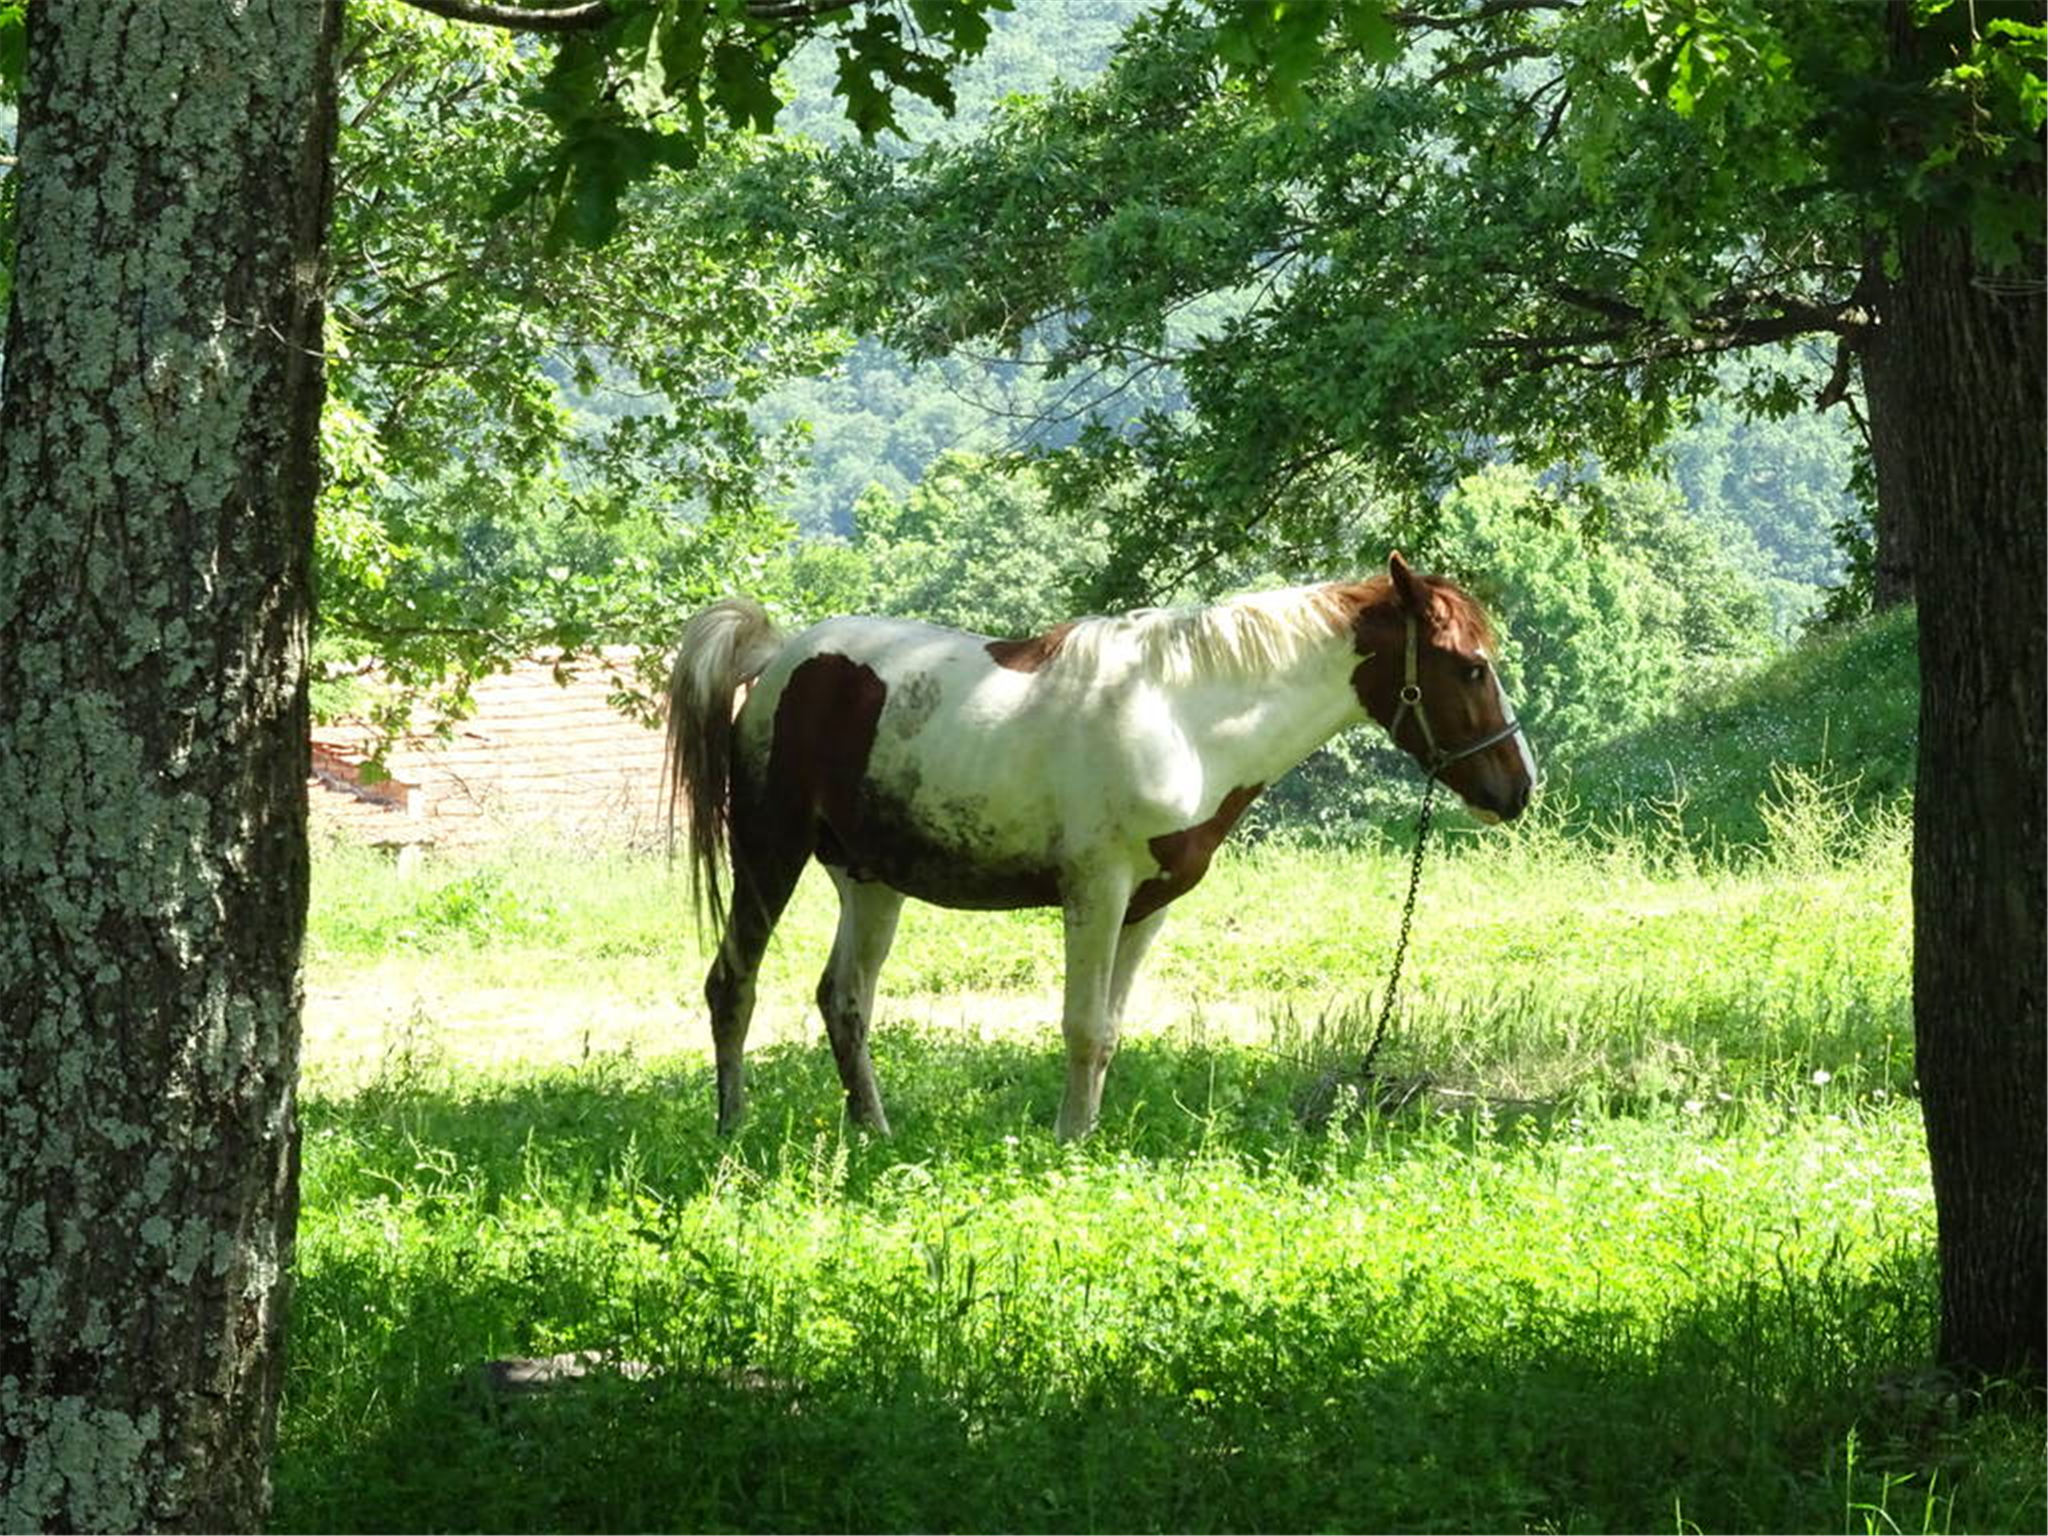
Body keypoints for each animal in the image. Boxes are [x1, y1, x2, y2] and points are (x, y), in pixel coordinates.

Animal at [671, 552, 1540, 1146]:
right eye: (1470, 667)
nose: (1517, 789)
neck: (1182, 713)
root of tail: (782, 659)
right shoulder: (1098, 892)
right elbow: (1082, 1026)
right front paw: (1066, 1145)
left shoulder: (1148, 908)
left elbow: (1110, 1033)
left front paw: (1085, 1142)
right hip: (769, 854)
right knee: (733, 985)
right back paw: (732, 1128)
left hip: (869, 880)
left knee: (845, 1000)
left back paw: (875, 1134)